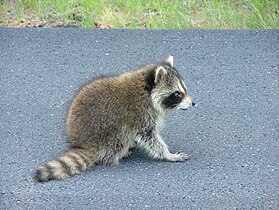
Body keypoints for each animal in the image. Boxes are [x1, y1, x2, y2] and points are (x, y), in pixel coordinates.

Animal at [35, 55, 195, 182]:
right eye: (177, 93)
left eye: (184, 89)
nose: (193, 103)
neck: (147, 90)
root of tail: (82, 145)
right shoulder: (141, 114)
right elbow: (149, 137)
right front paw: (168, 154)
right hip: (108, 135)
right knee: (120, 137)